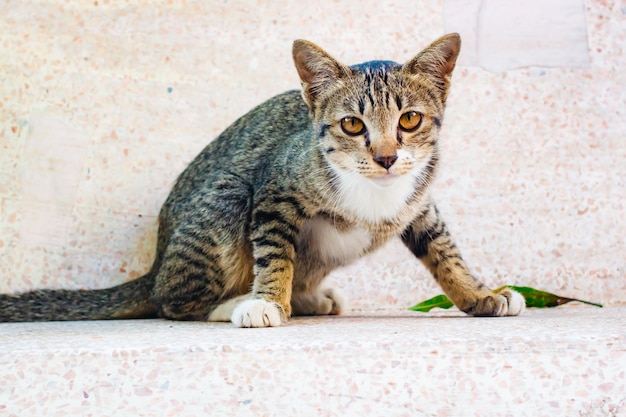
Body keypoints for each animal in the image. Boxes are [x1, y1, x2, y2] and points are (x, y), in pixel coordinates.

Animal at [0, 34, 524, 326]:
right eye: (352, 124)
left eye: (410, 120)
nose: (387, 157)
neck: (373, 191)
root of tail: (155, 264)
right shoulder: (273, 189)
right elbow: (275, 252)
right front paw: (268, 300)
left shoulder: (419, 202)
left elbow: (444, 250)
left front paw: (479, 294)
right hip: (228, 198)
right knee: (172, 302)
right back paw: (233, 303)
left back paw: (309, 297)